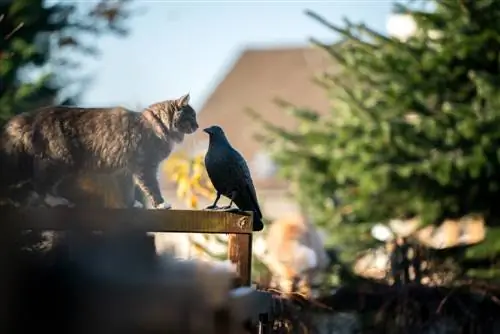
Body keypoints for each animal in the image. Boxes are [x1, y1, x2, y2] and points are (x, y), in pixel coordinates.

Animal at [26, 94, 197, 207]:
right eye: (192, 117)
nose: (198, 126)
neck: (158, 124)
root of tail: (35, 117)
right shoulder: (144, 166)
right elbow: (151, 187)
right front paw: (161, 204)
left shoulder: (125, 171)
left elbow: (127, 190)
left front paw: (132, 205)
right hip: (59, 161)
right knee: (40, 184)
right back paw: (55, 201)